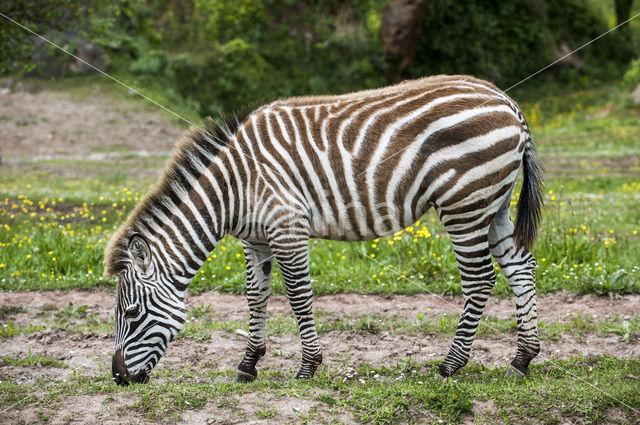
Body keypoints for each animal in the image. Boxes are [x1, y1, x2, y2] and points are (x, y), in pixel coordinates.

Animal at [106, 73, 544, 384]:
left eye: (130, 313)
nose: (119, 377)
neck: (233, 188)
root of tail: (507, 101)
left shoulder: (287, 228)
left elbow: (298, 297)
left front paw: (308, 367)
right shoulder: (255, 240)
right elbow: (256, 297)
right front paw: (248, 364)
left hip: (464, 204)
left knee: (480, 279)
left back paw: (451, 365)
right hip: (493, 204)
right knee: (520, 268)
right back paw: (522, 359)